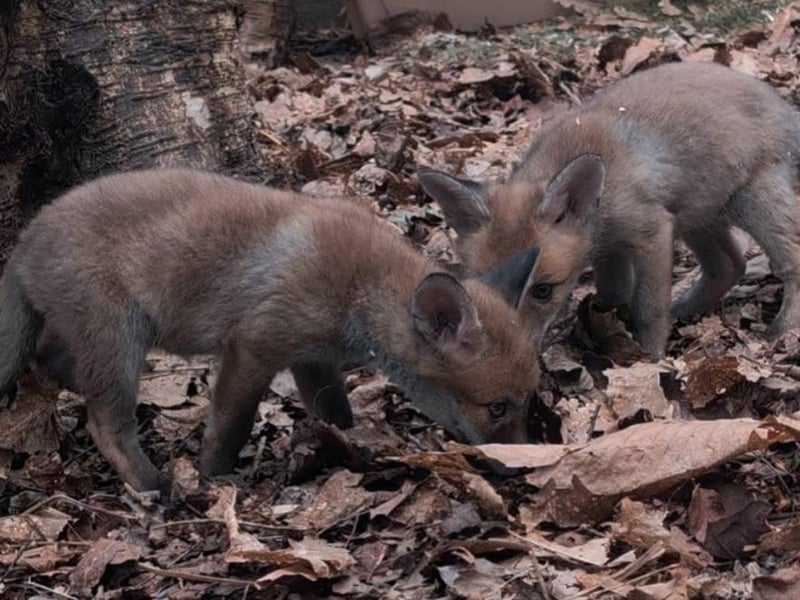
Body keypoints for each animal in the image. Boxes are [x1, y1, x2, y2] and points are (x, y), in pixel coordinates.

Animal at [0, 169, 541, 493]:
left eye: (529, 402)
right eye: (496, 408)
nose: (525, 465)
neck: (357, 284)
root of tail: (25, 242)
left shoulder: (313, 357)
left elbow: (336, 414)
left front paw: (346, 446)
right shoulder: (256, 343)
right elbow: (231, 424)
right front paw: (213, 477)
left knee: (48, 357)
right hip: (121, 339)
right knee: (105, 424)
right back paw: (155, 487)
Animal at [417, 61, 800, 359]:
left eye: (543, 290)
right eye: (485, 285)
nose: (509, 351)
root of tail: (784, 105)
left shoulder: (652, 229)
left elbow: (648, 306)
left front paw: (651, 356)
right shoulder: (610, 246)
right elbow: (613, 293)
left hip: (750, 200)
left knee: (790, 260)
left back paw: (782, 330)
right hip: (697, 215)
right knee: (729, 266)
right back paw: (687, 309)